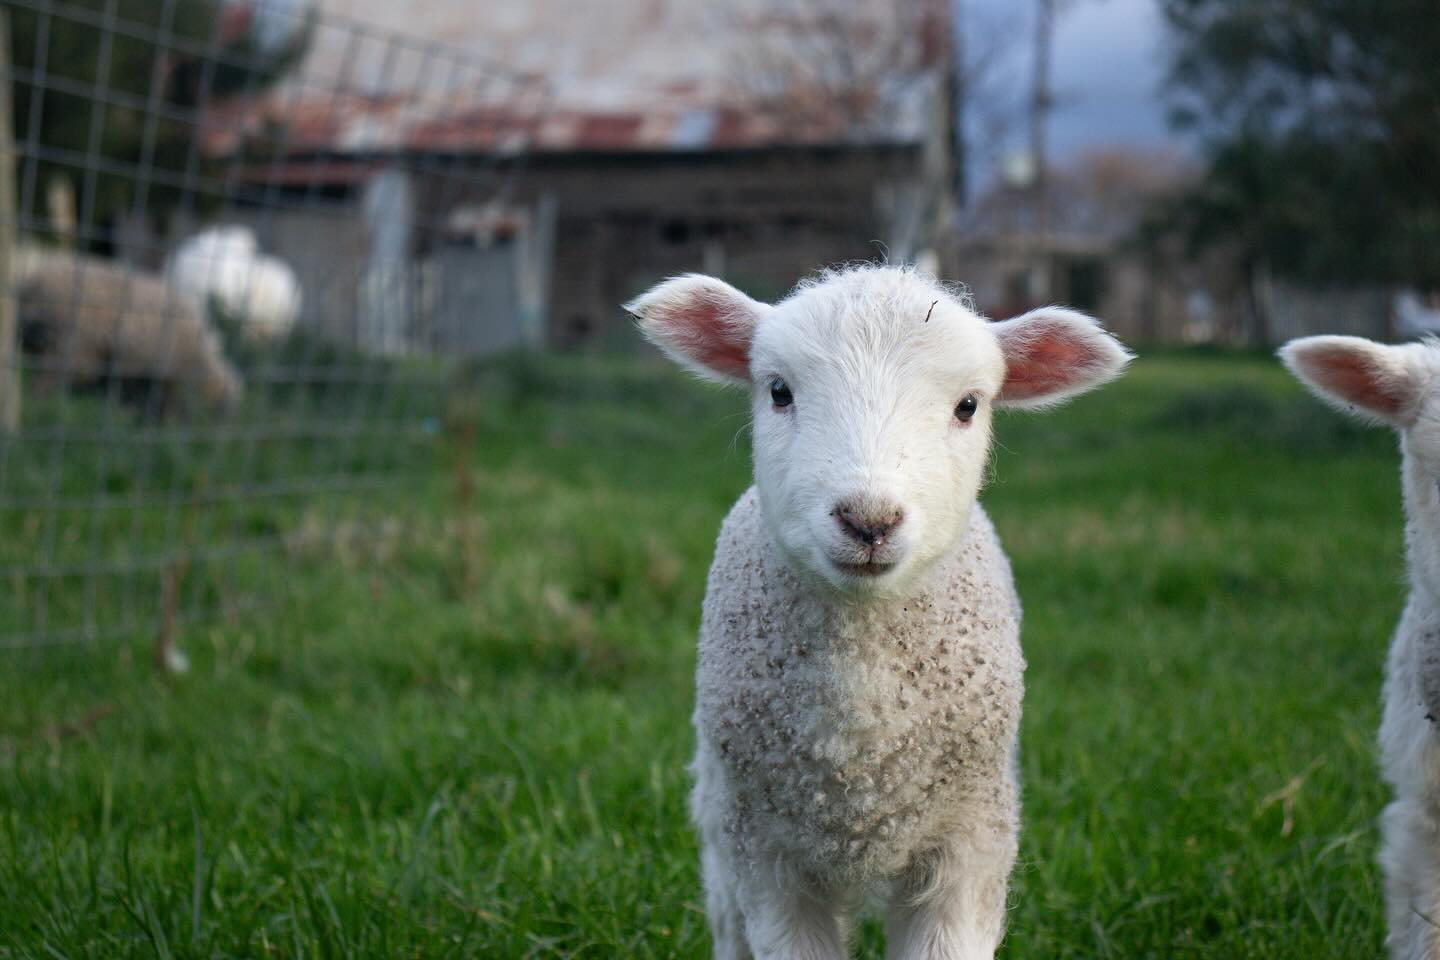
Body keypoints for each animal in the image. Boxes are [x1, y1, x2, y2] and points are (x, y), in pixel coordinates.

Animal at [627, 264, 1132, 960]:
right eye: (779, 391)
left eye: (968, 405)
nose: (869, 521)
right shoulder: (766, 851)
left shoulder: (971, 839)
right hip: (718, 810)